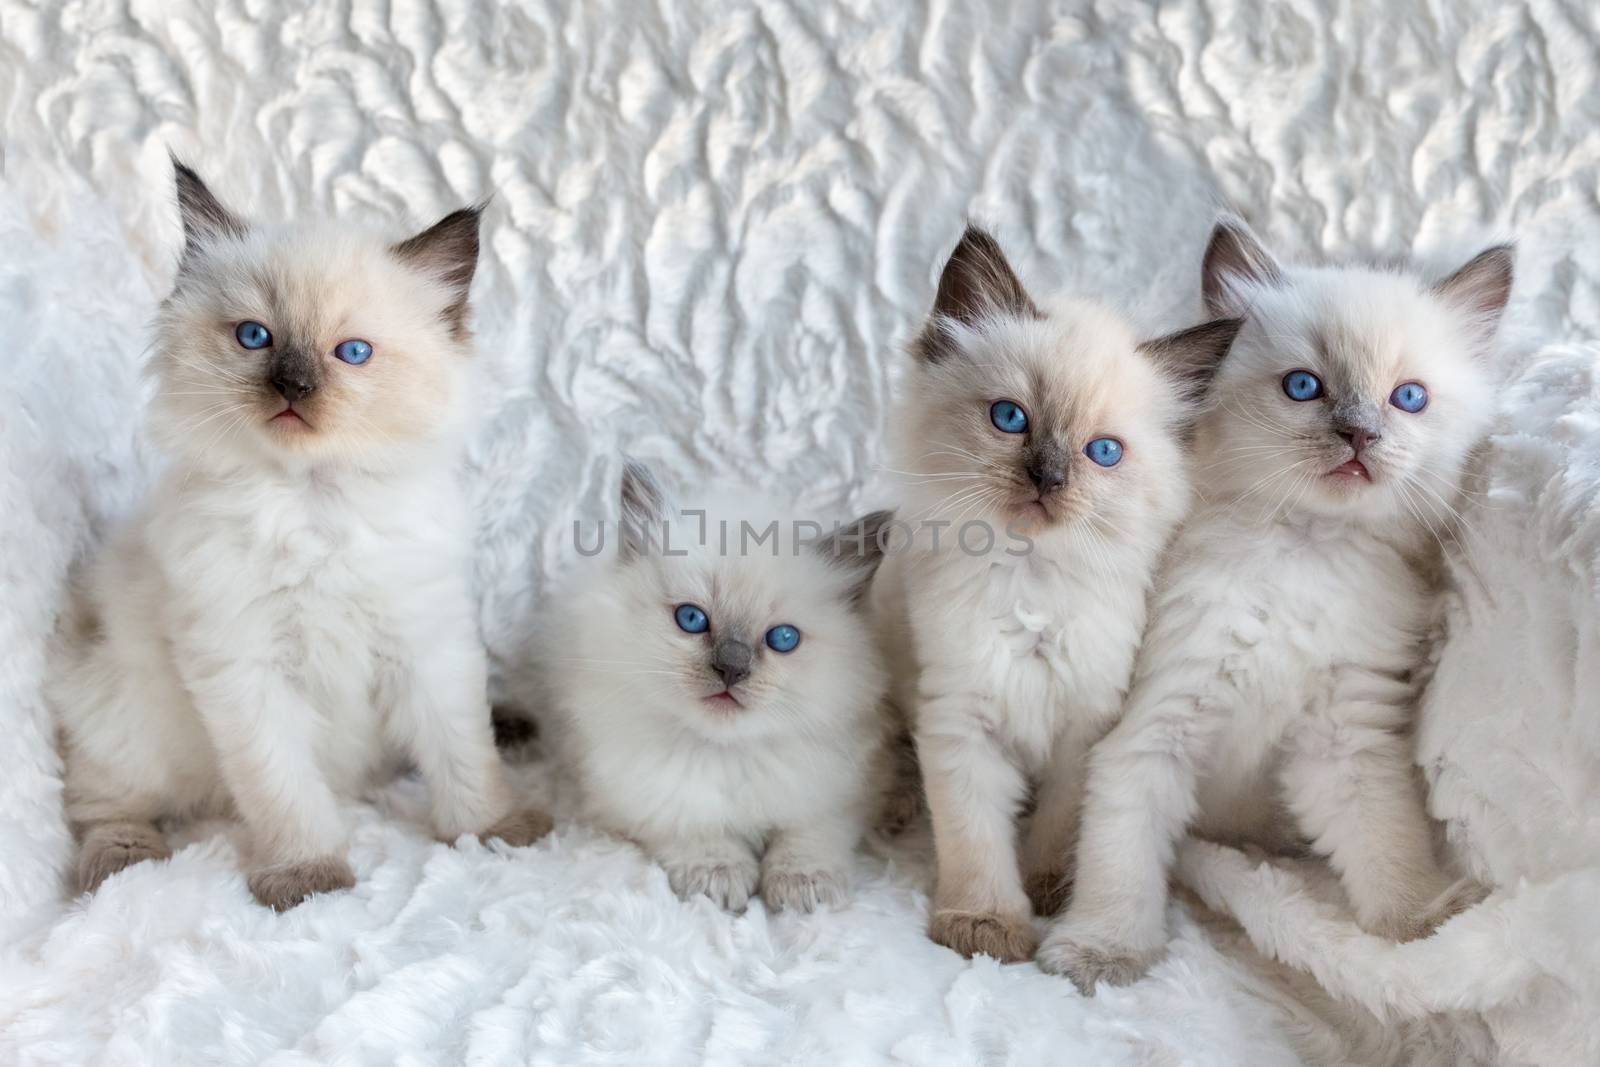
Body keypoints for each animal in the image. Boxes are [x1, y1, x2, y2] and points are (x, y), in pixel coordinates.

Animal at [48, 163, 550, 915]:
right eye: (255, 337)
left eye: (353, 353)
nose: (294, 385)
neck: (316, 508)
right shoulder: (246, 670)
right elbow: (285, 793)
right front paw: (307, 877)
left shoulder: (426, 646)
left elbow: (463, 755)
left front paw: (497, 829)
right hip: (125, 717)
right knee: (101, 803)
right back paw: (123, 862)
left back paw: (516, 726)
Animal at [550, 463, 896, 915]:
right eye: (692, 619)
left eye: (783, 639)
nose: (731, 668)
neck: (725, 754)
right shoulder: (635, 794)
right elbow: (694, 827)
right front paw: (718, 874)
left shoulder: (838, 790)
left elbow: (808, 835)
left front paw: (804, 887)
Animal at [870, 230, 1241, 966]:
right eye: (1010, 418)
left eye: (1104, 452)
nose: (1049, 477)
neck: (1032, 579)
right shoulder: (960, 719)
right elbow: (975, 840)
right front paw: (985, 926)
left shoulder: (1086, 727)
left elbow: (1057, 825)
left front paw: (1051, 894)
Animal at [1036, 214, 1510, 991]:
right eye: (1303, 386)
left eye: (1407, 398)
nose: (1359, 434)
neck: (1301, 553)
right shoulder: (1156, 726)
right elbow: (1120, 861)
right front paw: (1103, 950)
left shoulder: (1343, 738)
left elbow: (1387, 843)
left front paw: (1422, 923)